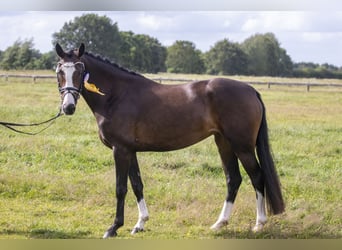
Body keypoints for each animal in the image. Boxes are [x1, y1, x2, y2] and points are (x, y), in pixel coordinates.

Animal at [56, 43, 284, 238]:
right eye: (59, 72)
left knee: (257, 177)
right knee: (233, 179)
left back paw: (259, 224)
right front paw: (140, 223)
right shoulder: (130, 150)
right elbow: (137, 185)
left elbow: (121, 188)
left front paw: (113, 228)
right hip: (224, 143)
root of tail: (250, 90)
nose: (68, 107)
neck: (117, 95)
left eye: (79, 71)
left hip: (242, 146)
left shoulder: (120, 150)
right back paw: (220, 223)